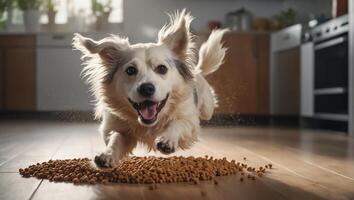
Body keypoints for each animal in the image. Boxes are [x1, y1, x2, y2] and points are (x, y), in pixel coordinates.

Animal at [73, 9, 228, 167]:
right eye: (130, 70)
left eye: (162, 68)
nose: (146, 88)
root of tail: (197, 71)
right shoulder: (115, 126)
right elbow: (116, 138)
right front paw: (107, 155)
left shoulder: (190, 123)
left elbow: (178, 124)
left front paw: (167, 139)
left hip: (207, 108)